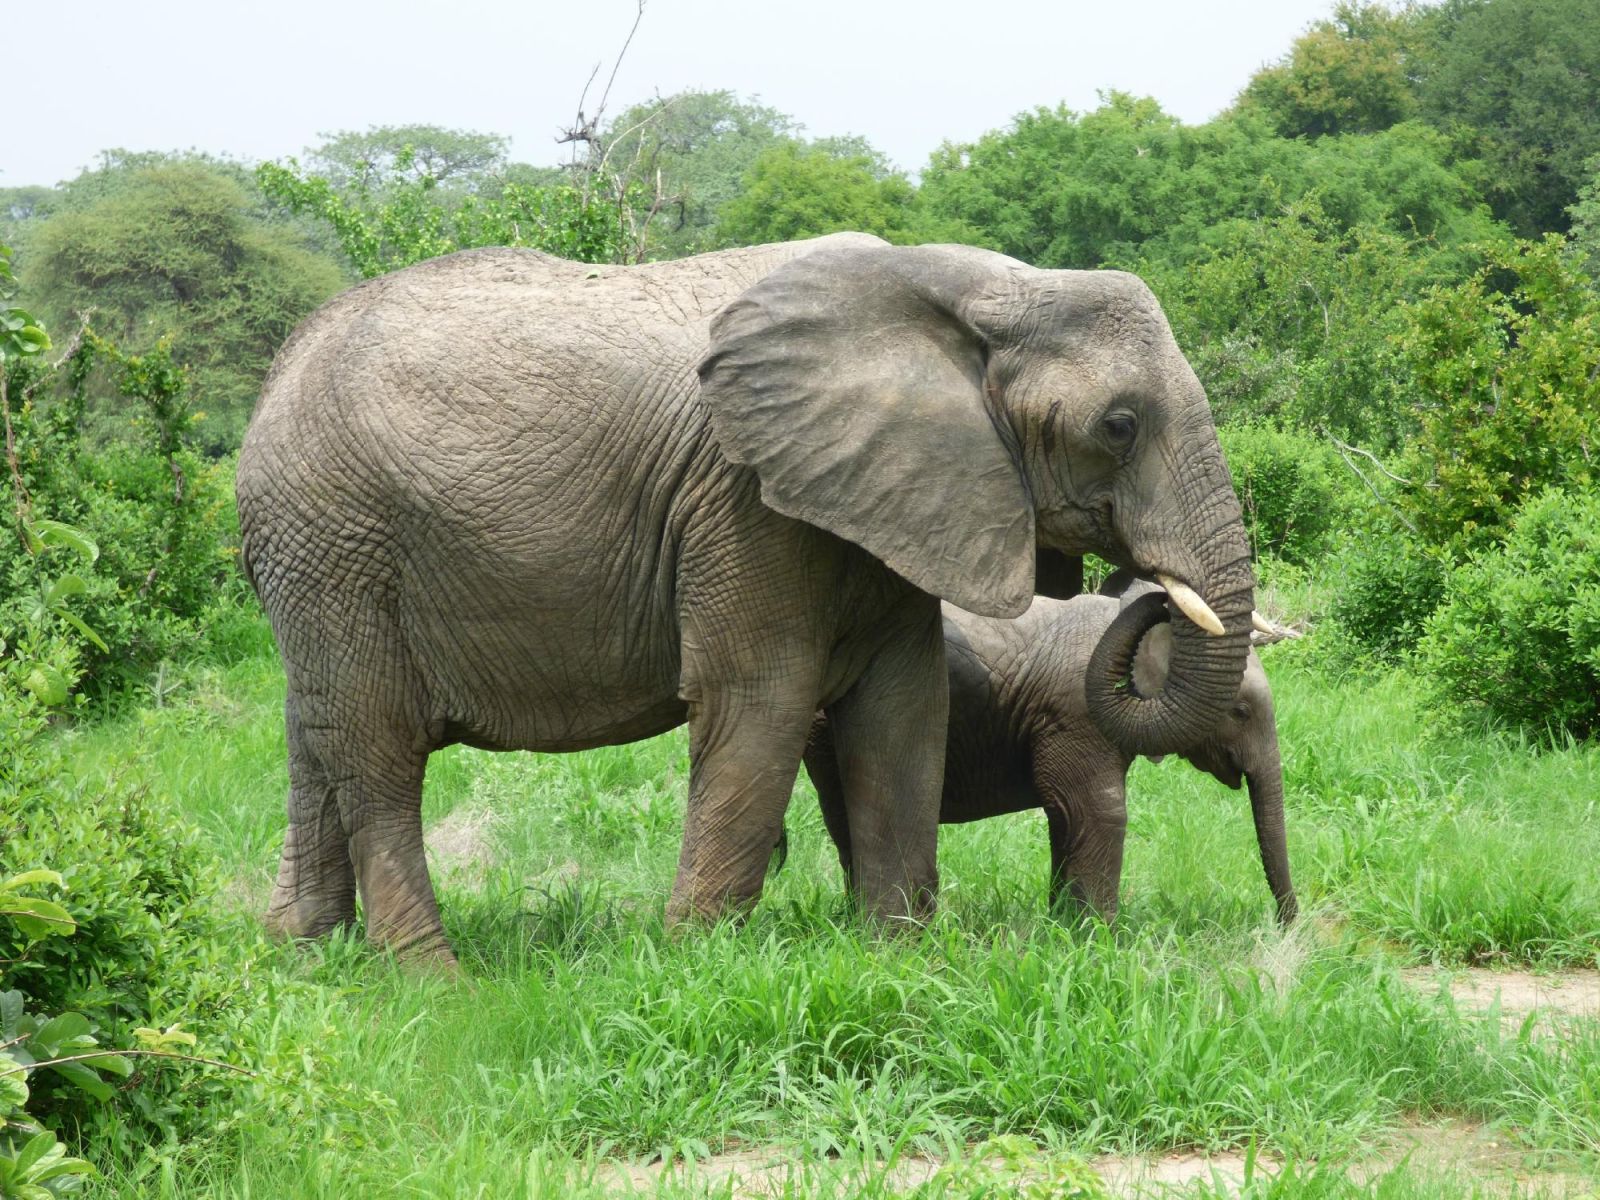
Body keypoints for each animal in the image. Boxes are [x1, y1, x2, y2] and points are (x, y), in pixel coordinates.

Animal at [803, 579, 1298, 925]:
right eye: (1239, 711)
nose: (1283, 925)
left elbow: (1067, 817)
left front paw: (1063, 928)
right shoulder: (1076, 713)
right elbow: (1098, 811)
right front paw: (1099, 942)